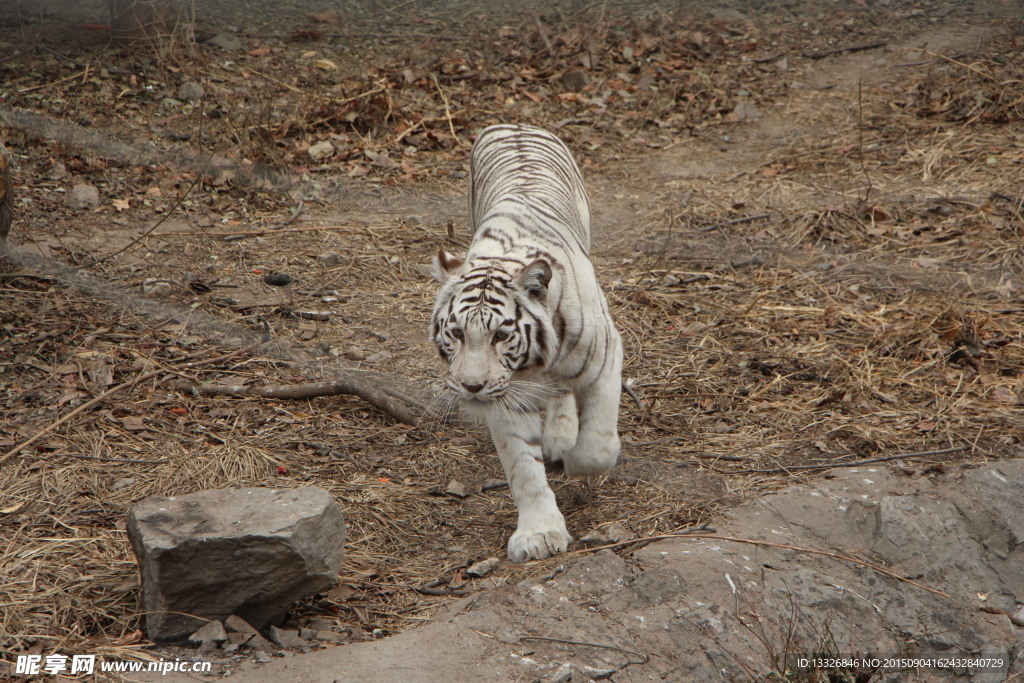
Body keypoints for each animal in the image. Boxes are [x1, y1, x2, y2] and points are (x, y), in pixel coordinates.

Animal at [428, 122, 618, 561]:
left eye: (501, 334)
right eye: (457, 333)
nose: (471, 386)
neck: (536, 362)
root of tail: (515, 124)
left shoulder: (607, 356)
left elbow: (596, 444)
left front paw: (579, 461)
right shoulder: (506, 397)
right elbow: (523, 470)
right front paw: (539, 534)